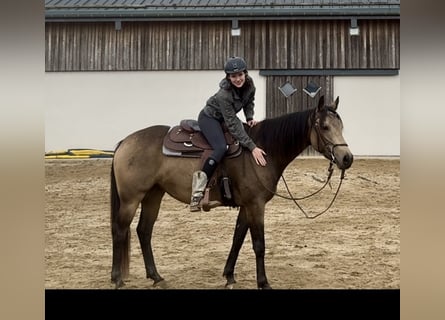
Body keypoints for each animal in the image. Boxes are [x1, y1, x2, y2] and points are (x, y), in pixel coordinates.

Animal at [109, 95, 352, 290]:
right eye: (324, 126)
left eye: (340, 126)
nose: (347, 158)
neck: (262, 150)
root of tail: (125, 142)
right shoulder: (256, 205)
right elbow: (259, 245)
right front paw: (263, 282)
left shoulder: (246, 206)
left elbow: (237, 238)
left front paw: (229, 276)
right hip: (131, 199)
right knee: (120, 231)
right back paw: (117, 278)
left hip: (153, 195)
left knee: (144, 231)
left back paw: (156, 277)